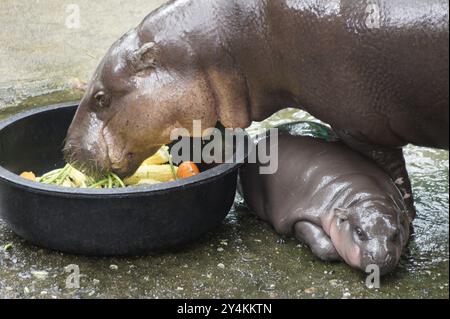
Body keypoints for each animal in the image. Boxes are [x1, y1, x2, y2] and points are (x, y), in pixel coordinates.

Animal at [239, 132, 412, 276]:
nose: (380, 257)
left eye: (396, 233)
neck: (366, 196)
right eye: (359, 232)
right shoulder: (305, 213)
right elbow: (323, 245)